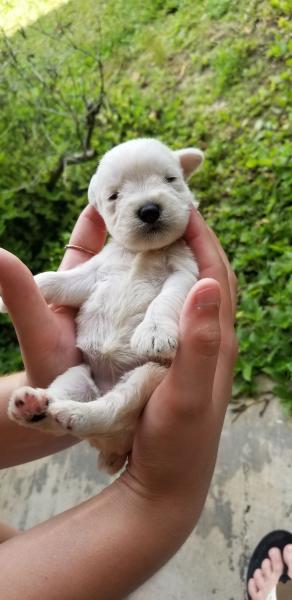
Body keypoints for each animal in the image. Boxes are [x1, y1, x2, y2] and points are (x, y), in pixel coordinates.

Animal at [2, 138, 203, 472]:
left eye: (170, 179)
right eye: (114, 196)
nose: (149, 209)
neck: (141, 251)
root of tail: (112, 447)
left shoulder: (184, 272)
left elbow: (164, 299)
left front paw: (154, 332)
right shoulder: (95, 274)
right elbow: (61, 280)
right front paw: (27, 285)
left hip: (145, 377)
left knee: (110, 411)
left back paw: (76, 413)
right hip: (78, 375)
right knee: (59, 414)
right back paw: (33, 406)